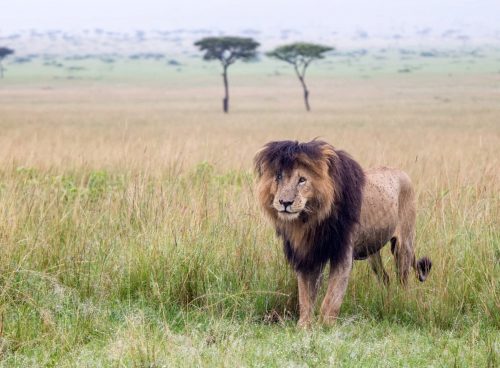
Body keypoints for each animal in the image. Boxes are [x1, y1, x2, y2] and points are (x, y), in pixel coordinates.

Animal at [256, 139, 432, 326]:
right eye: (278, 177)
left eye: (302, 180)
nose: (285, 202)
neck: (310, 221)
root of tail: (402, 172)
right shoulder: (309, 254)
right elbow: (305, 296)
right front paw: (303, 326)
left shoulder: (343, 254)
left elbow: (332, 298)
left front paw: (326, 325)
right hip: (373, 252)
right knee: (385, 277)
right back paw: (387, 302)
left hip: (404, 244)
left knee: (403, 280)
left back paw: (401, 302)